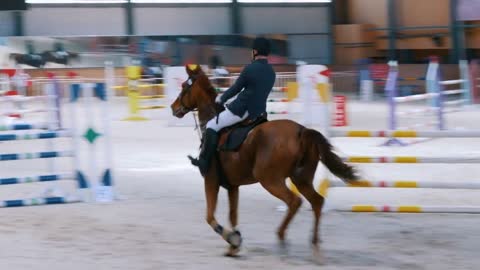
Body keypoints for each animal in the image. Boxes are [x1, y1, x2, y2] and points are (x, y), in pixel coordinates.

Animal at [171, 64, 358, 256]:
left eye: (185, 86)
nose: (173, 107)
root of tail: (301, 130)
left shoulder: (211, 180)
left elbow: (209, 217)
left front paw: (232, 239)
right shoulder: (233, 186)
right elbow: (233, 215)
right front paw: (234, 245)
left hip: (270, 180)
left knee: (294, 201)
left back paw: (282, 237)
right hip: (301, 179)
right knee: (317, 202)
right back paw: (314, 246)